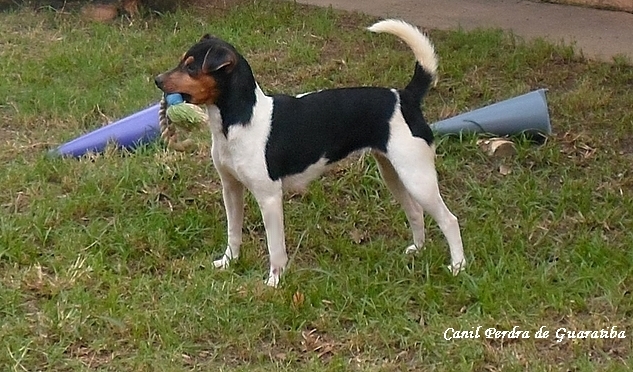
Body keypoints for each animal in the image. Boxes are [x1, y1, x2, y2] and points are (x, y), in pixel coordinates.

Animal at [154, 19, 464, 288]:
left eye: (192, 68)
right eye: (182, 62)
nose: (157, 79)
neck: (240, 121)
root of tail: (406, 97)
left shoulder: (269, 198)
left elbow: (275, 247)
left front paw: (274, 282)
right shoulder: (231, 189)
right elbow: (233, 233)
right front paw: (228, 262)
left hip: (417, 176)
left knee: (449, 220)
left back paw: (458, 267)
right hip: (393, 172)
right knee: (415, 211)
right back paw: (418, 250)